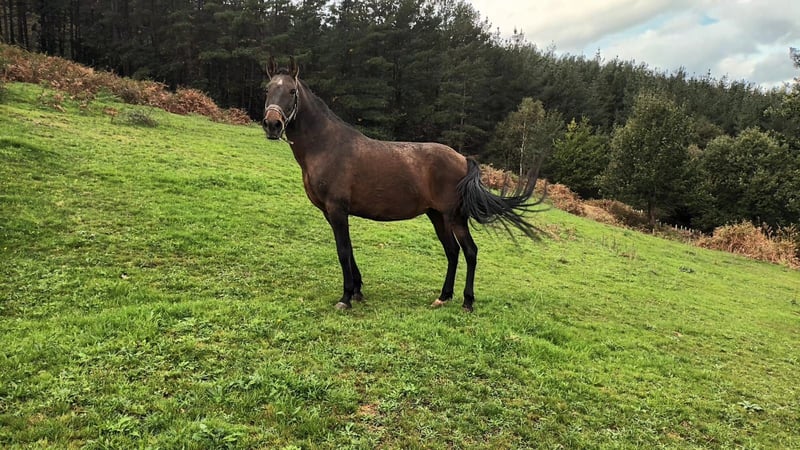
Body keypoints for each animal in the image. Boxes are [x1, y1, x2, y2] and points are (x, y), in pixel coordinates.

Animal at [261, 56, 544, 312]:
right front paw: (358, 291)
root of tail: (463, 159)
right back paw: (443, 297)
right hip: (437, 216)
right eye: (267, 89)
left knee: (470, 251)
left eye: (292, 91)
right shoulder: (330, 213)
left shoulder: (337, 209)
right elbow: (349, 250)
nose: (272, 124)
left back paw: (467, 302)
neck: (327, 146)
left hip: (455, 217)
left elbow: (342, 251)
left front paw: (345, 298)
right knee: (452, 251)